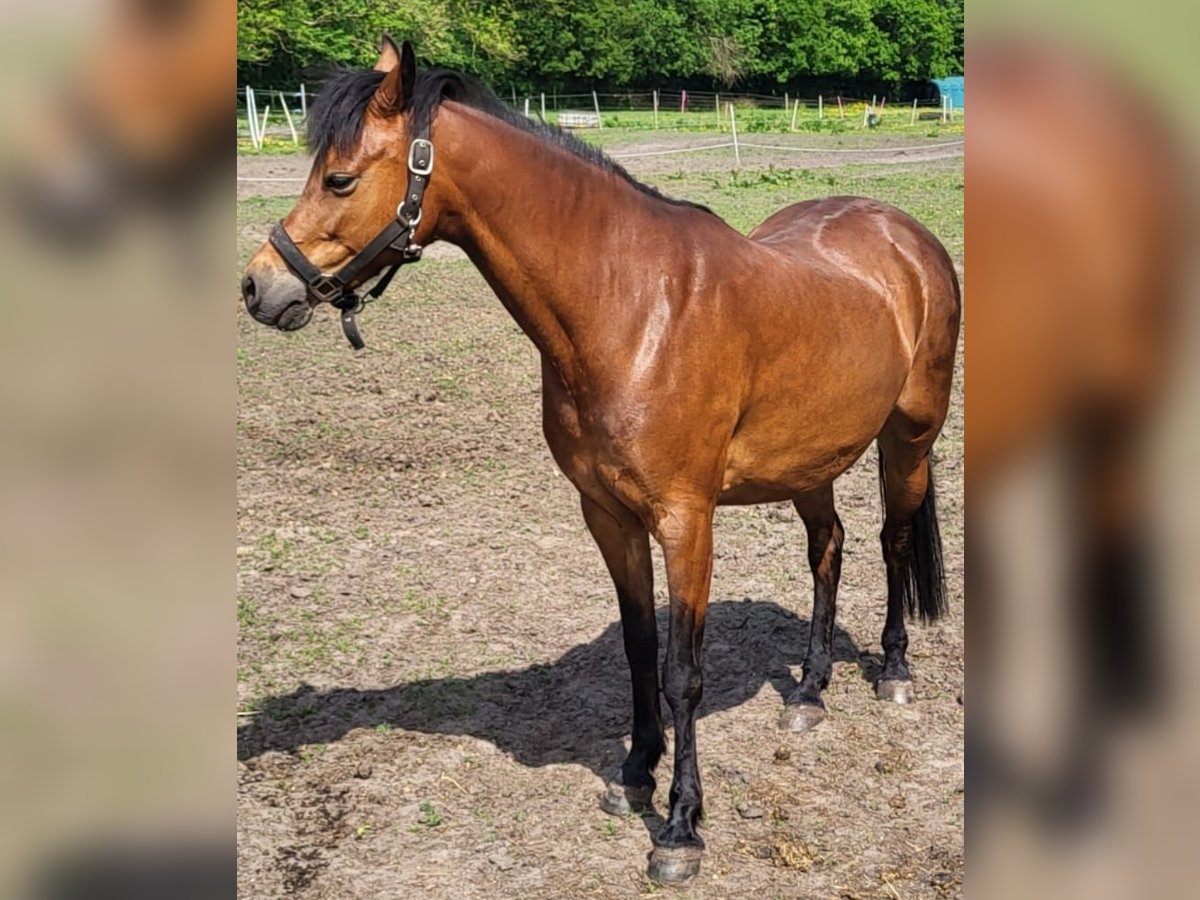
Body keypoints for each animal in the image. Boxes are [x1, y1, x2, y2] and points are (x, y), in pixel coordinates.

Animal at [238, 38, 960, 883]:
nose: (259, 285)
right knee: (830, 548)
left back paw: (895, 673)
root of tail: (904, 235)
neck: (632, 306)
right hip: (809, 460)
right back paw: (810, 691)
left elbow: (682, 671)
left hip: (909, 439)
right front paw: (635, 774)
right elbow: (639, 648)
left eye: (340, 179)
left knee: (893, 542)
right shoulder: (608, 515)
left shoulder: (685, 520)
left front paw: (680, 827)